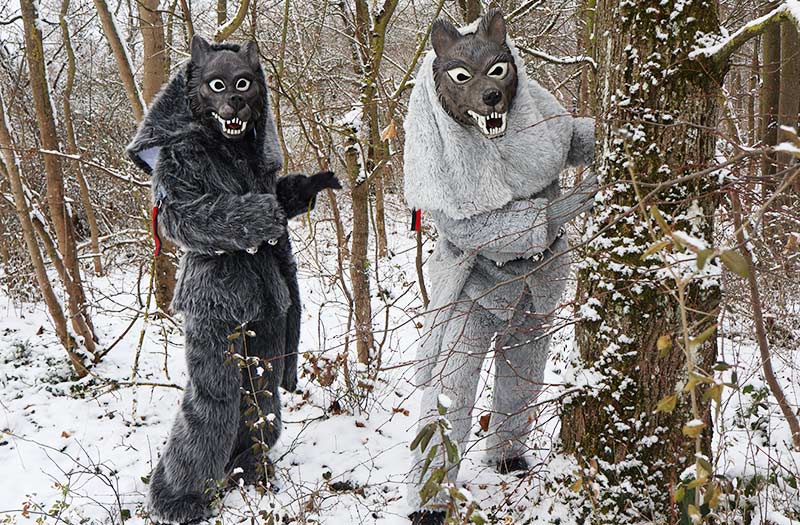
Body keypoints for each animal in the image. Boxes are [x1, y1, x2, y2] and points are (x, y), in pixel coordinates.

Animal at [127, 36, 340, 524]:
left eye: (244, 83)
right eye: (217, 84)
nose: (236, 102)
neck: (229, 147)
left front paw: (304, 190)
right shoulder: (177, 168)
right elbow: (185, 215)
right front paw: (270, 211)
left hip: (265, 338)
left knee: (260, 395)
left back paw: (249, 474)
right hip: (220, 323)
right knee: (217, 402)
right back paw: (179, 502)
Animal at [403, 10, 597, 524]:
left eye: (499, 69)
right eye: (460, 76)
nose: (491, 97)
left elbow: (571, 135)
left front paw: (594, 140)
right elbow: (488, 224)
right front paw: (568, 202)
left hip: (530, 317)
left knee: (520, 369)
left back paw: (508, 460)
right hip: (464, 318)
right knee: (450, 394)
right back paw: (428, 506)